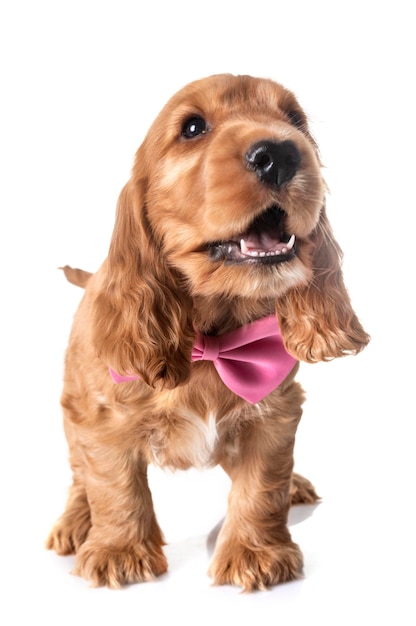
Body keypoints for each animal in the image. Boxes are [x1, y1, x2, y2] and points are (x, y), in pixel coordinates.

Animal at [47, 74, 368, 588]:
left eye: (295, 120)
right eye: (193, 127)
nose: (280, 154)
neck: (213, 339)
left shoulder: (276, 413)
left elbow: (262, 485)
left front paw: (256, 553)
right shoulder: (103, 420)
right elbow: (114, 485)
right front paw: (119, 550)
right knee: (81, 474)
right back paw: (76, 522)